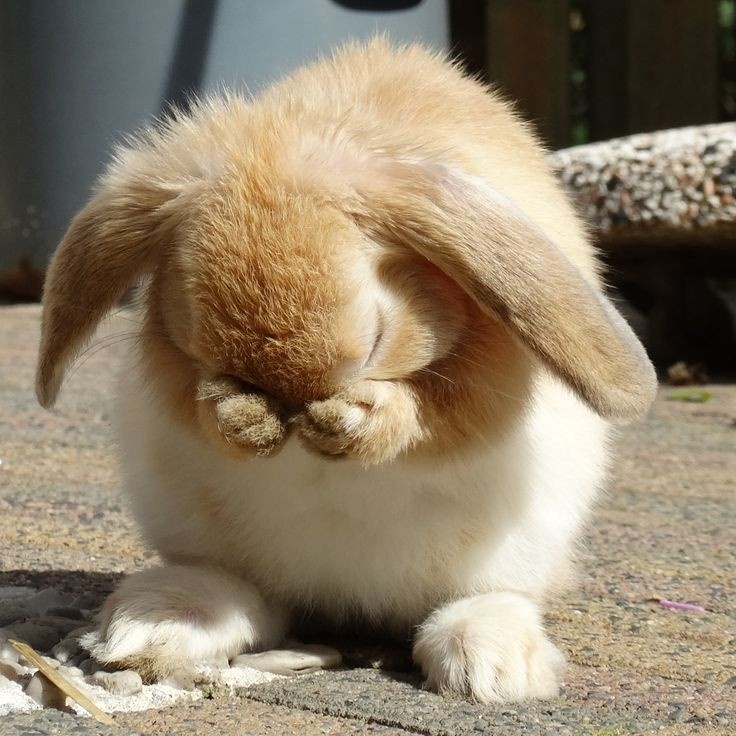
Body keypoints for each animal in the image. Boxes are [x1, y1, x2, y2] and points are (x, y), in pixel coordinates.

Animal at [35, 38, 656, 702]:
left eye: (376, 339)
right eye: (203, 342)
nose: (289, 412)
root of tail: (347, 606)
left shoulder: (483, 388)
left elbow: (429, 416)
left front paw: (346, 422)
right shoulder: (173, 376)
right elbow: (198, 407)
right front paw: (243, 420)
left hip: (513, 551)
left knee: (478, 600)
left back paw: (489, 666)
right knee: (247, 597)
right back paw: (154, 628)